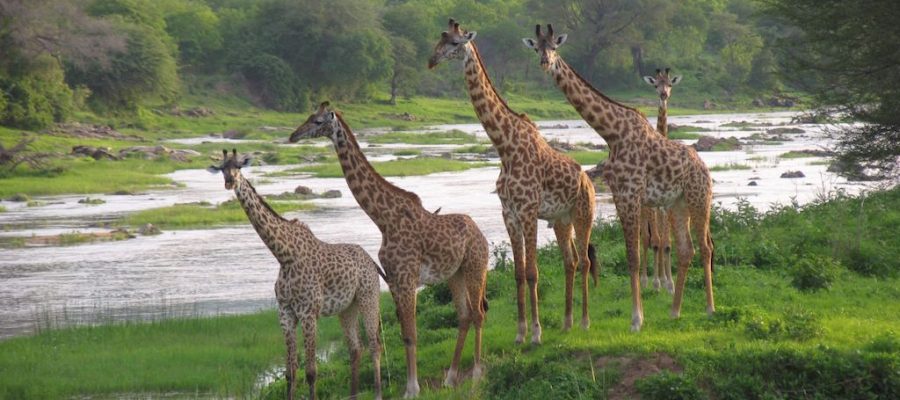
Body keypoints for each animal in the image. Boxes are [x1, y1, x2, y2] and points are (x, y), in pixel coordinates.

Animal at [207, 149, 382, 400]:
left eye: (239, 167)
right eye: (222, 168)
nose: (229, 181)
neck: (284, 255)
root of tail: (371, 261)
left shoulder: (309, 313)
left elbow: (311, 371)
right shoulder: (285, 313)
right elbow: (290, 371)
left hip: (369, 298)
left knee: (375, 345)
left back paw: (377, 393)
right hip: (347, 308)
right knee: (355, 349)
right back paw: (353, 394)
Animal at [290, 103, 489, 398]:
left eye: (317, 121)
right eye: (307, 116)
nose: (293, 135)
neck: (383, 219)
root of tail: (481, 234)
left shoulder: (406, 279)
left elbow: (412, 334)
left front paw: (412, 389)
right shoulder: (394, 280)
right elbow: (405, 334)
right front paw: (410, 386)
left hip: (476, 267)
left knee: (478, 314)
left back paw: (475, 376)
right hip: (455, 274)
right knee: (464, 316)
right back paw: (450, 378)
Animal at [429, 19, 597, 345]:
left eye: (454, 43)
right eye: (439, 40)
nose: (431, 61)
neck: (504, 146)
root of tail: (588, 181)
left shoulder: (528, 211)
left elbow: (532, 272)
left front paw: (536, 333)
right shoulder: (509, 214)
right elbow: (518, 273)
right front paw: (520, 333)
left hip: (584, 214)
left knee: (584, 261)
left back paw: (584, 322)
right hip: (562, 220)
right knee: (569, 261)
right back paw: (567, 322)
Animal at [524, 24, 714, 332]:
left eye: (554, 47)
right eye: (536, 48)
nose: (545, 62)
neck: (611, 133)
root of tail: (705, 167)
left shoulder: (632, 193)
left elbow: (635, 254)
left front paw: (636, 319)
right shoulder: (619, 194)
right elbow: (632, 254)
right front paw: (640, 314)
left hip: (699, 198)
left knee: (706, 247)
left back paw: (709, 308)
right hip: (677, 204)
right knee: (687, 250)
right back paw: (675, 311)